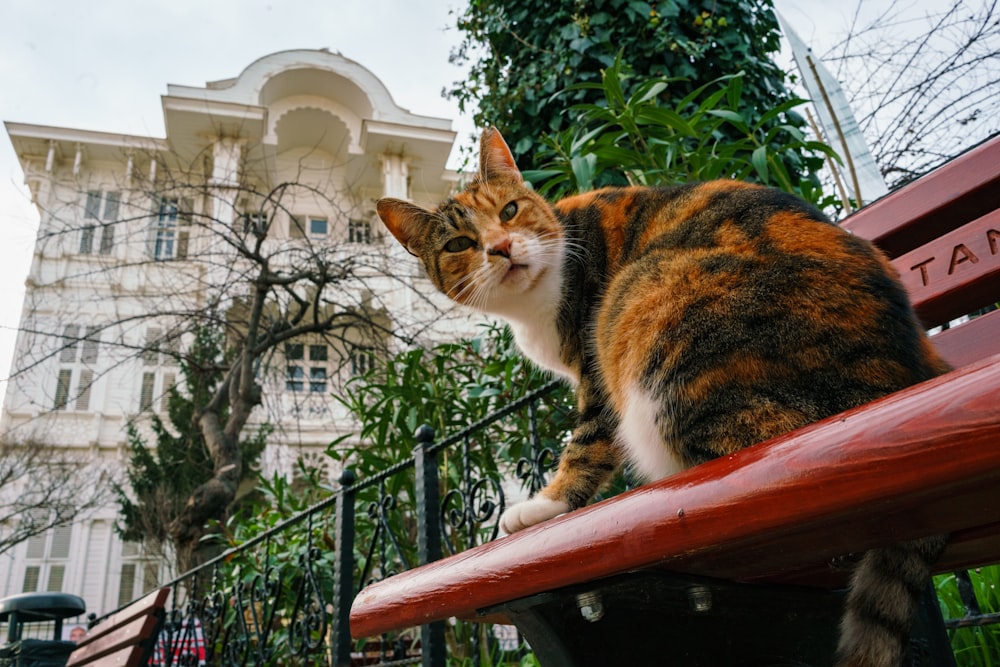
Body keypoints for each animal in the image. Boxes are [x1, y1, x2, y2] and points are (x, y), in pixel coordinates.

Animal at [376, 128, 952, 664]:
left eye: (510, 210)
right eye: (458, 245)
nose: (500, 247)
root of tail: (903, 376)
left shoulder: (595, 360)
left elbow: (587, 441)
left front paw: (543, 506)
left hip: (646, 299)